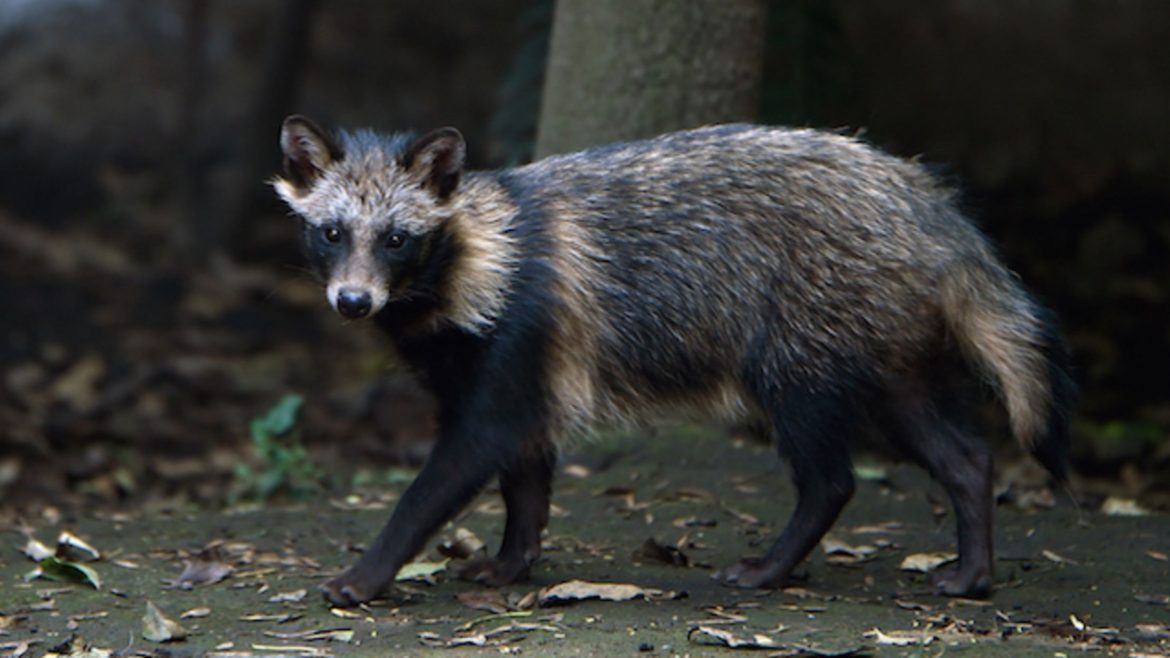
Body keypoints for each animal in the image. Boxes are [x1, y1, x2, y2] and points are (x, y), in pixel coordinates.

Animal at [273, 115, 1073, 608]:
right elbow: (525, 479)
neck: (473, 257)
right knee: (964, 454)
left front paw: (368, 571)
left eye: (397, 239)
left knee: (831, 477)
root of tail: (920, 198)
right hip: (883, 352)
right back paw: (973, 566)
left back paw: (776, 563)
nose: (353, 302)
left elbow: (442, 480)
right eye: (333, 232)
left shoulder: (516, 346)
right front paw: (513, 558)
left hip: (800, 346)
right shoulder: (509, 372)